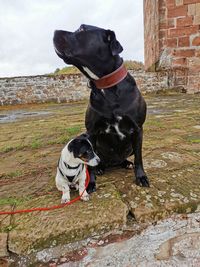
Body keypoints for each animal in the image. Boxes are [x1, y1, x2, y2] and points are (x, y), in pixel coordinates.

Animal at [53, 24, 150, 191]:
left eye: (82, 29)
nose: (54, 31)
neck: (106, 86)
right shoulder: (91, 132)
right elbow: (89, 163)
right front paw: (91, 182)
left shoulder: (138, 129)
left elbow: (139, 157)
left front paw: (141, 177)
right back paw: (100, 168)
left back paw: (126, 163)